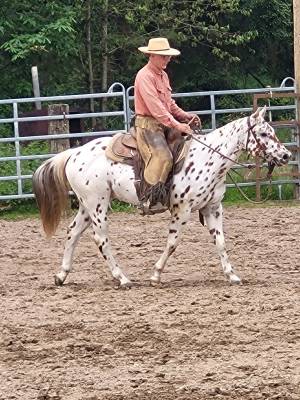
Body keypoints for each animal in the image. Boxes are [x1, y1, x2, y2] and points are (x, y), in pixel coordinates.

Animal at [32, 106, 290, 288]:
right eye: (264, 133)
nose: (286, 155)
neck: (209, 159)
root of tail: (74, 153)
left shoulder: (213, 208)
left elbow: (221, 241)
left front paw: (232, 275)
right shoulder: (182, 209)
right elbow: (173, 242)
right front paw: (155, 275)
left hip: (87, 205)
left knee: (73, 232)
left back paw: (62, 275)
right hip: (98, 204)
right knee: (100, 238)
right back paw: (122, 278)